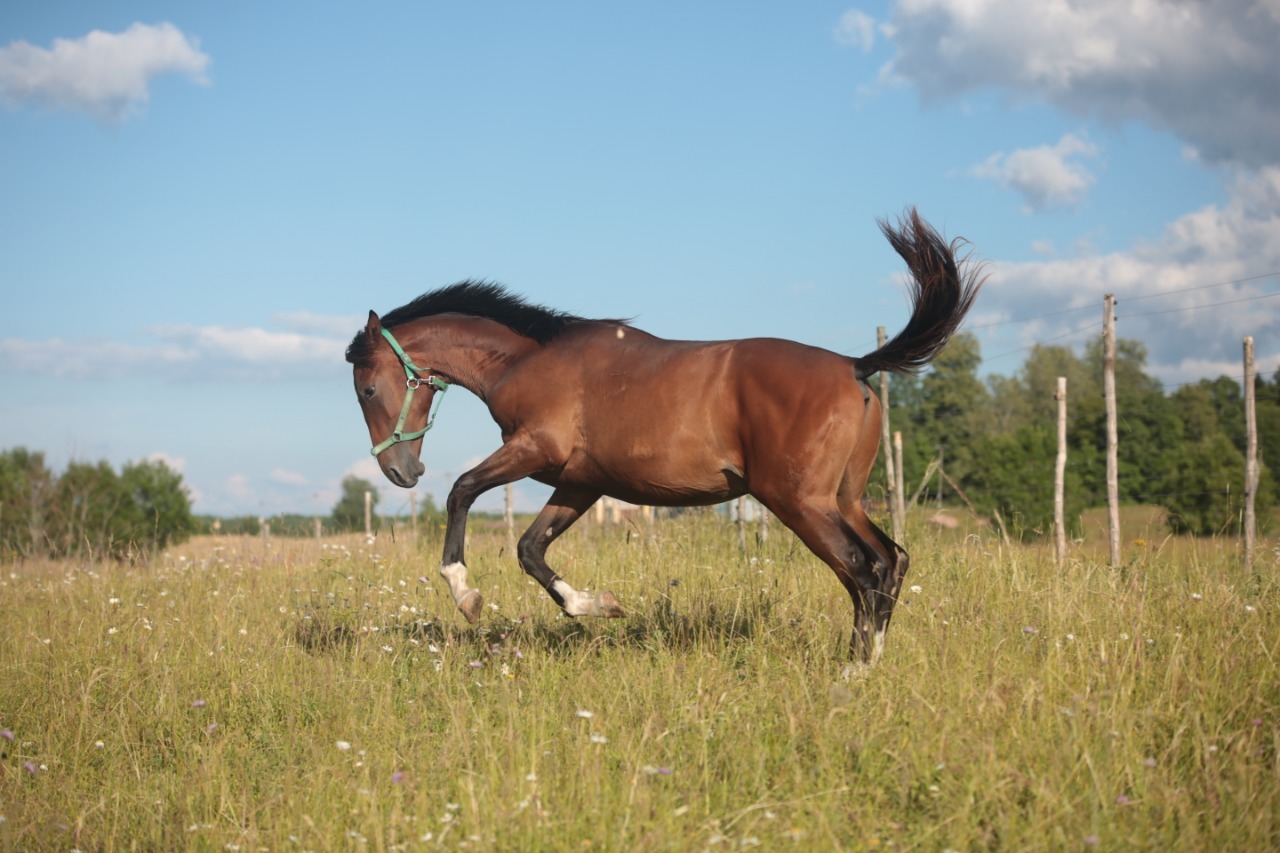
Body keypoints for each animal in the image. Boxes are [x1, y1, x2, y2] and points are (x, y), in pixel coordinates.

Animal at [345, 208, 983, 660]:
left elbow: (462, 492)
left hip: (800, 502)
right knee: (890, 561)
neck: (528, 360)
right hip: (844, 498)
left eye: (368, 390)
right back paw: (868, 659)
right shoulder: (580, 483)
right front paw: (597, 605)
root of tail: (855, 364)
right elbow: (530, 549)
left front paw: (466, 594)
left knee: (863, 568)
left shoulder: (534, 449)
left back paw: (855, 672)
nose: (400, 472)